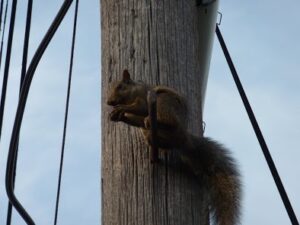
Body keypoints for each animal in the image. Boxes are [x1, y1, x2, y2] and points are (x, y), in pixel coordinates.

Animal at [106, 69, 240, 224]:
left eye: (120, 86)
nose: (109, 102)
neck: (132, 93)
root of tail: (183, 138)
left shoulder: (143, 97)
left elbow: (140, 107)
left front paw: (120, 109)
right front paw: (117, 115)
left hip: (164, 102)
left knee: (167, 120)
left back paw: (156, 121)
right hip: (151, 130)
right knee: (149, 128)